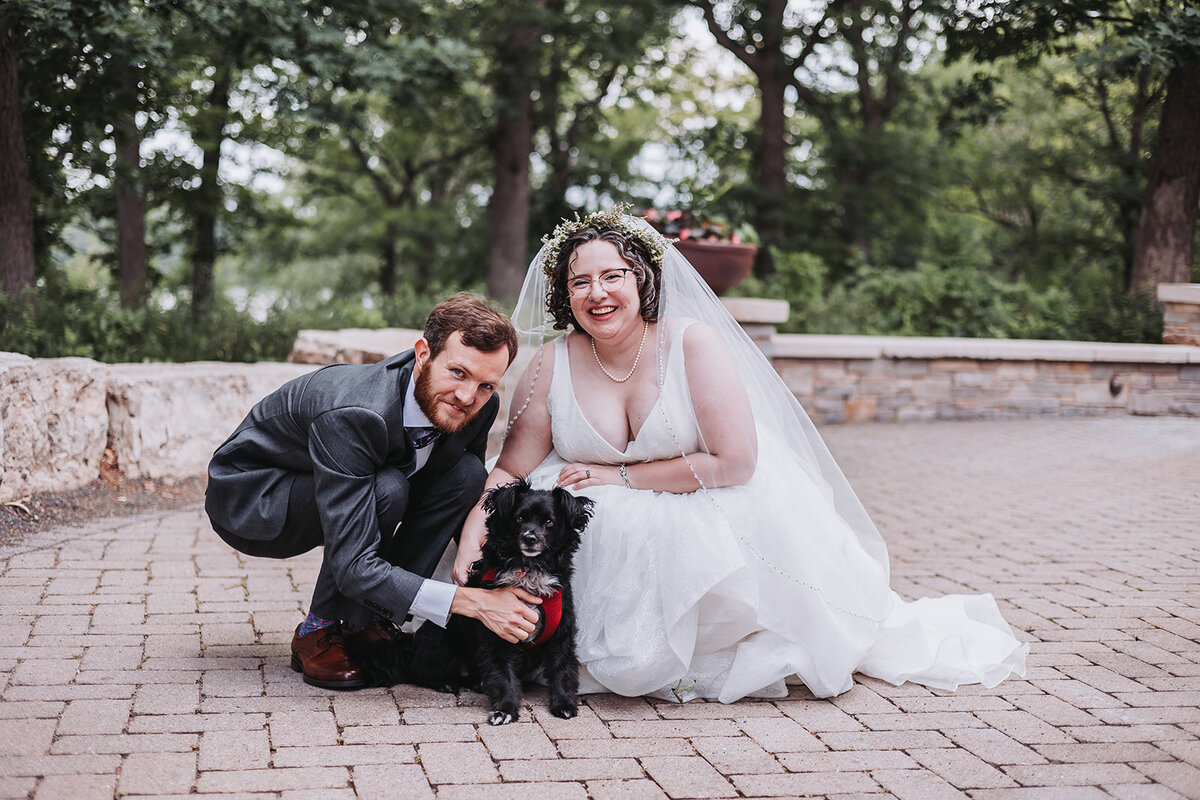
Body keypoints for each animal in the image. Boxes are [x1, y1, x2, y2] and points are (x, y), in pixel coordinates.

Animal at [357, 479, 597, 729]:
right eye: (519, 518)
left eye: (549, 522)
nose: (530, 538)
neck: (529, 570)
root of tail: (410, 647)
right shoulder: (499, 635)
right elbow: (503, 677)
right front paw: (505, 710)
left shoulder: (562, 633)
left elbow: (562, 670)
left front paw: (564, 704)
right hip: (442, 645)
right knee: (419, 672)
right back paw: (445, 683)